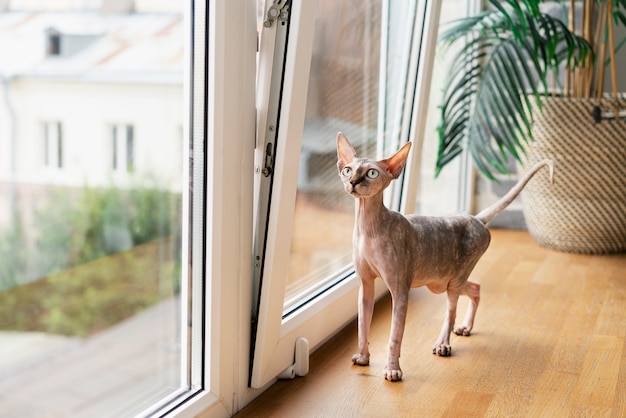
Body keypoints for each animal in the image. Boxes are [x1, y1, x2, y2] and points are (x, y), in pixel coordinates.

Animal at [334, 132, 552, 380]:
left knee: (452, 310)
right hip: (440, 281)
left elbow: (394, 336)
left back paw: (443, 344)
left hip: (453, 279)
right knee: (475, 288)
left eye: (372, 173)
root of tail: (476, 218)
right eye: (348, 170)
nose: (353, 182)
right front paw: (363, 358)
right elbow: (362, 326)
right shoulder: (366, 286)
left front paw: (392, 369)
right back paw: (465, 328)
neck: (367, 229)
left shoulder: (400, 290)